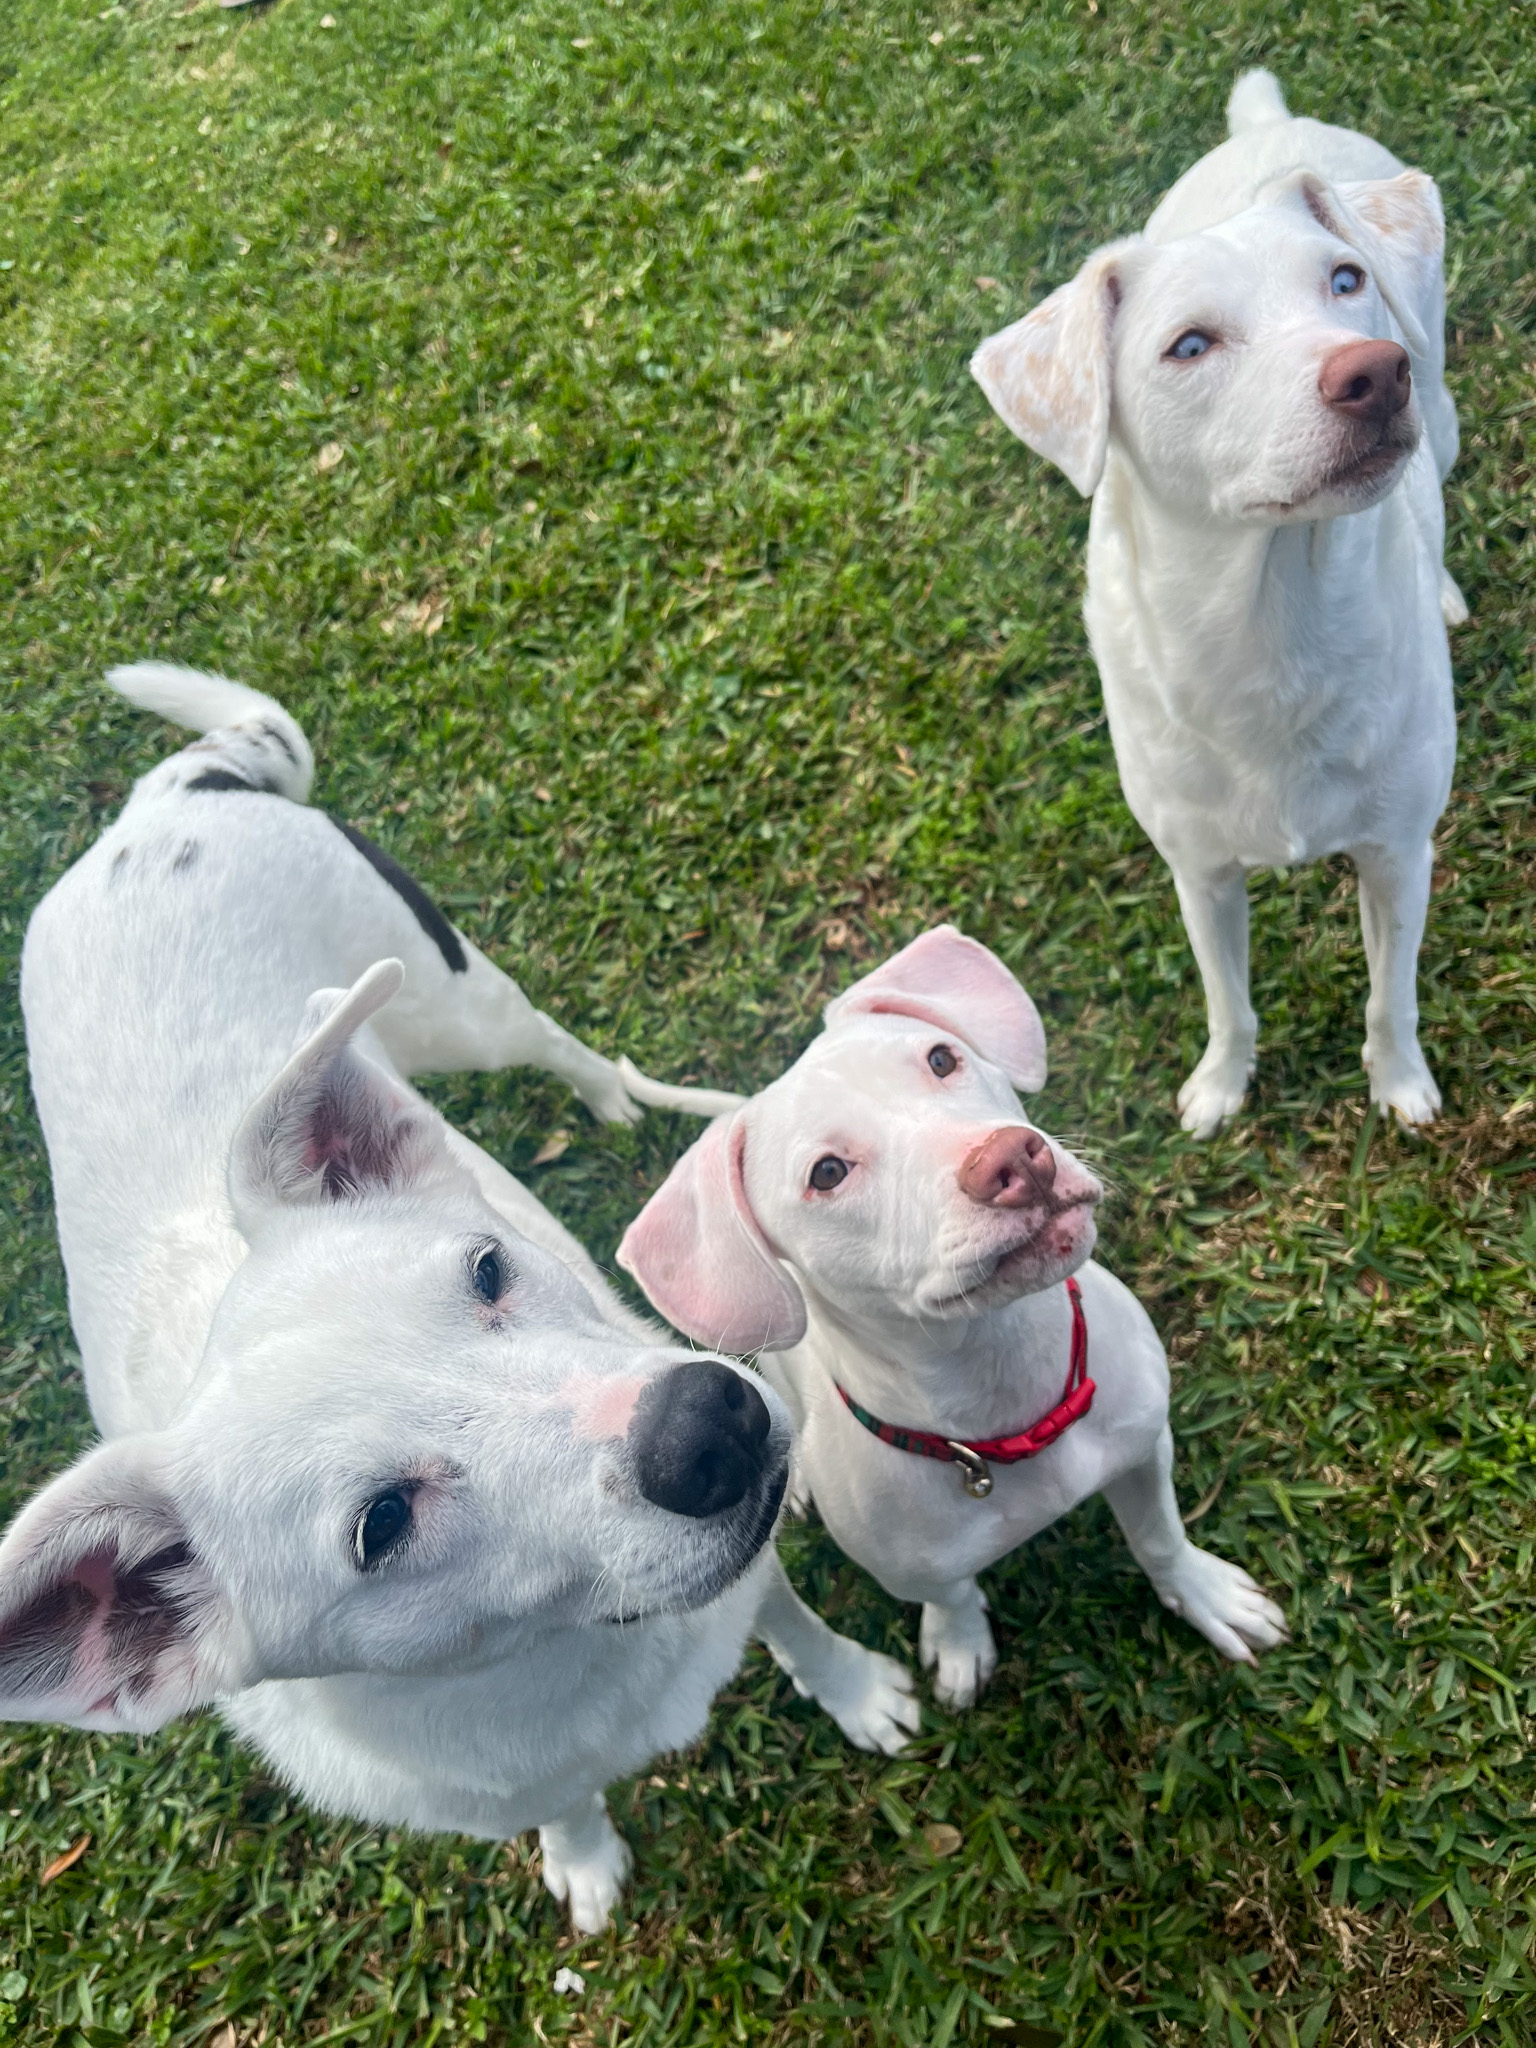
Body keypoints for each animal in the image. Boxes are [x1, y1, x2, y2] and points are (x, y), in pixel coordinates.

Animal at [618, 933, 1294, 1712]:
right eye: (827, 1173)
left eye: (941, 1058)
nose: (1013, 1160)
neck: (1001, 1379)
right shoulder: (911, 1569)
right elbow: (951, 1593)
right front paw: (961, 1644)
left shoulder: (1145, 1447)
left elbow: (1158, 1534)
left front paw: (1203, 1592)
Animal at [978, 68, 1458, 1138]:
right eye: (1189, 345)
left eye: (1344, 281)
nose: (1374, 373)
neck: (1276, 630)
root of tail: (1270, 123)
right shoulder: (1198, 872)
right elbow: (1226, 996)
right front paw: (1220, 1087)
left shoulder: (1399, 853)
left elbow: (1391, 996)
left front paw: (1399, 1083)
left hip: (1443, 400)